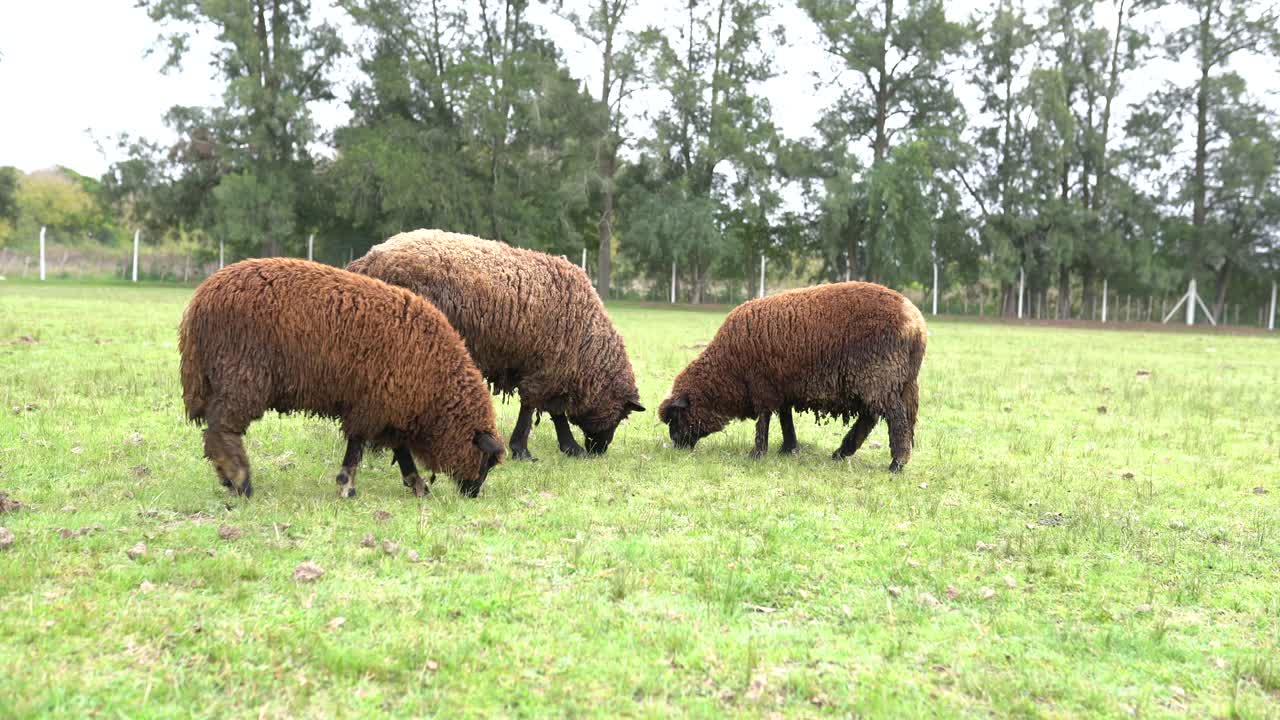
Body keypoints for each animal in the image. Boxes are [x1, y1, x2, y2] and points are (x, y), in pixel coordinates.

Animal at [179, 257, 504, 499]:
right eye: (485, 461)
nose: (473, 494)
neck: (438, 386)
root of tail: (199, 302)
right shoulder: (372, 403)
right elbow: (357, 447)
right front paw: (347, 486)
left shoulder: (389, 405)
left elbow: (400, 451)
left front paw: (417, 485)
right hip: (241, 374)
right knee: (222, 429)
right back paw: (240, 481)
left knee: (214, 432)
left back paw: (228, 479)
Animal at [348, 229, 645, 458]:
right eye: (622, 416)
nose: (600, 450)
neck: (586, 344)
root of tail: (371, 258)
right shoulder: (548, 369)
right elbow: (535, 409)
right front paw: (525, 449)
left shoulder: (548, 369)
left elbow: (554, 411)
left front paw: (568, 447)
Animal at [660, 280, 921, 471]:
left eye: (676, 417)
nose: (675, 446)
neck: (728, 368)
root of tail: (916, 323)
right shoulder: (780, 387)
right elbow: (785, 418)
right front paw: (789, 448)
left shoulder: (762, 385)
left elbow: (763, 419)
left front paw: (757, 453)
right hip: (893, 381)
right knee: (872, 417)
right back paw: (841, 453)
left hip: (879, 376)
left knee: (894, 419)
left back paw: (896, 464)